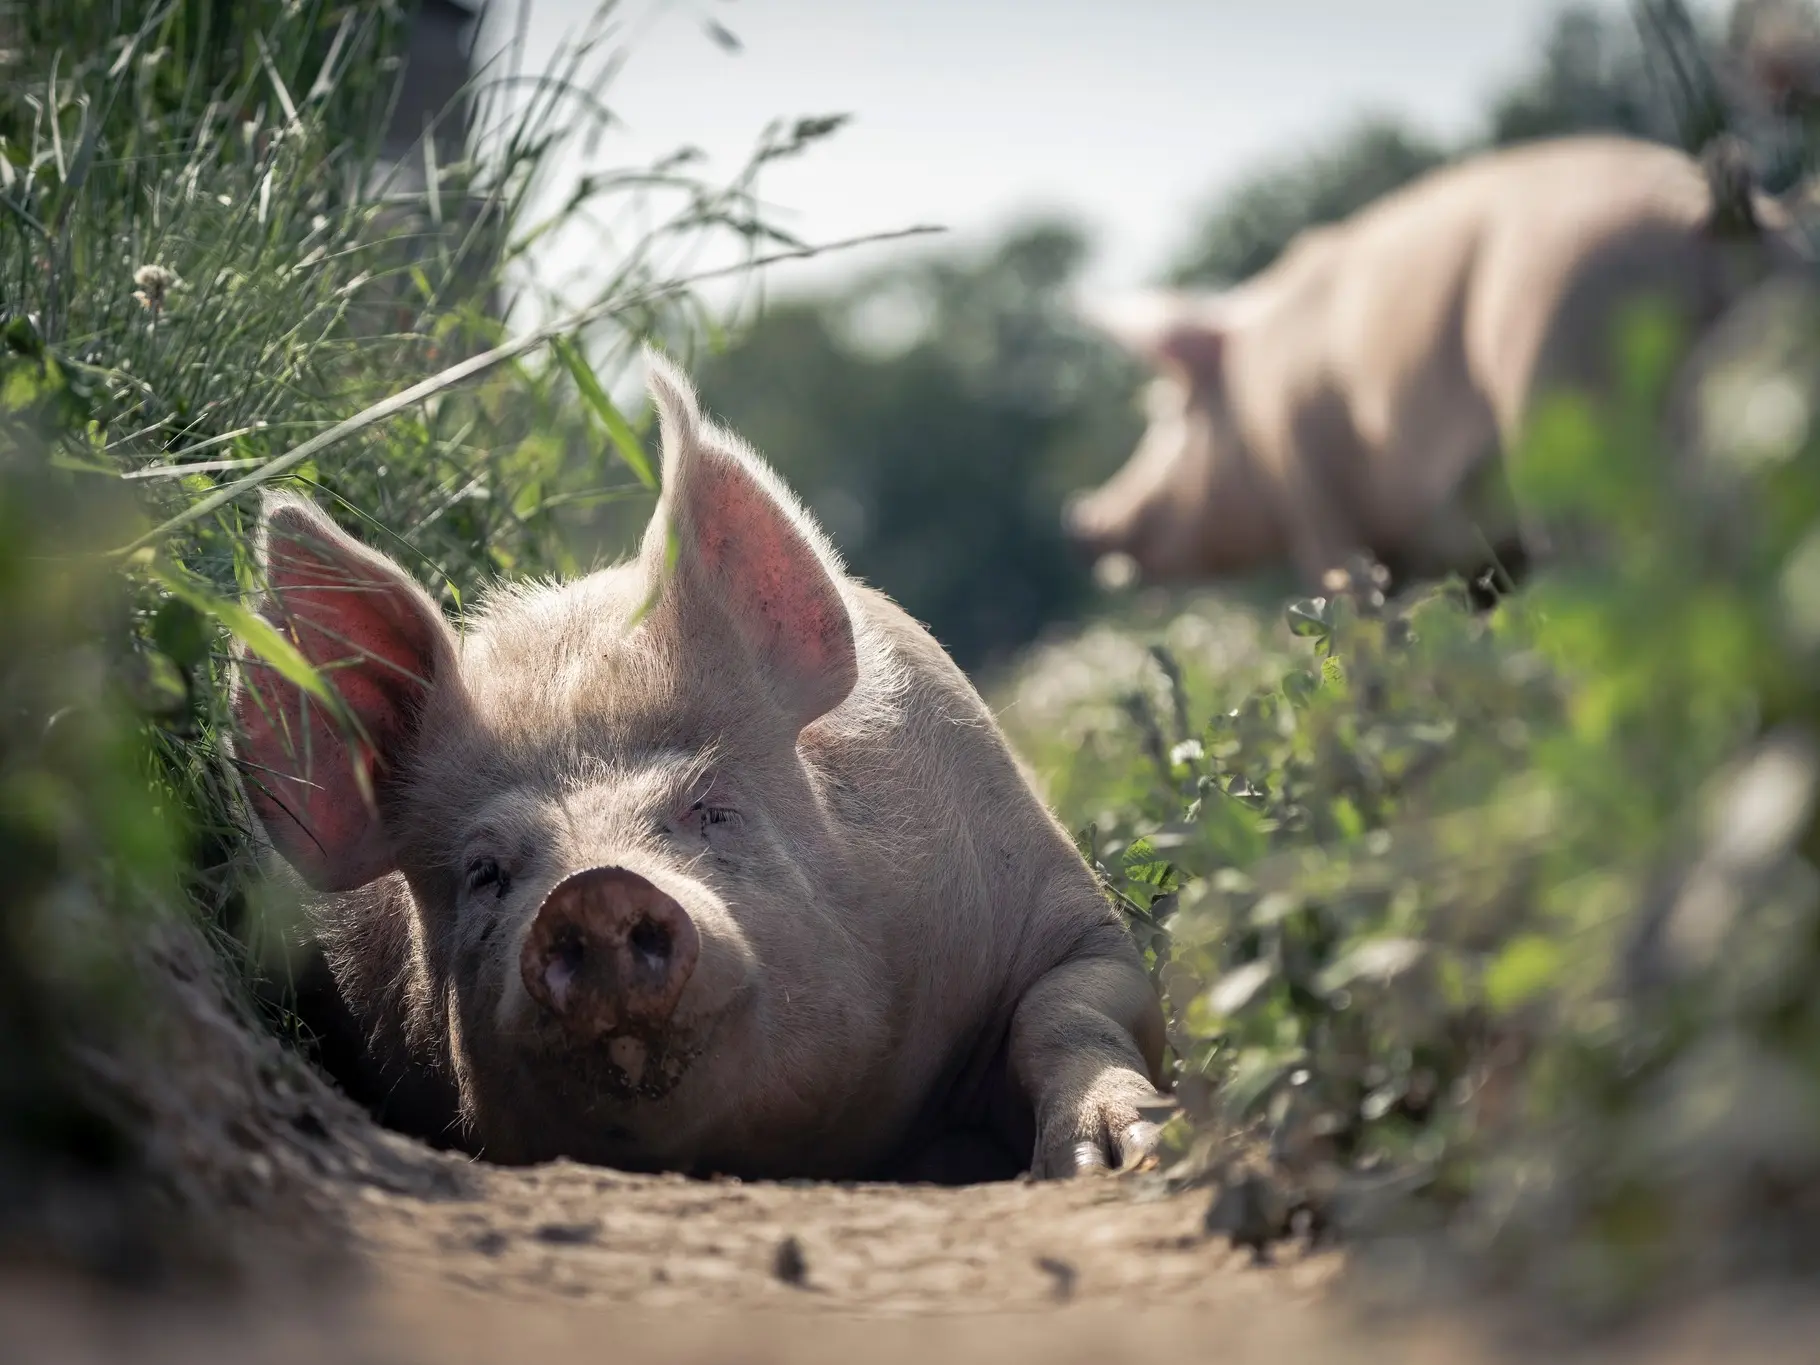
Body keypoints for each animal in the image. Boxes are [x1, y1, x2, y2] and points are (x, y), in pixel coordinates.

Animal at [232, 352, 1167, 1182]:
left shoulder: (1053, 904)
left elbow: (1068, 1003)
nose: (595, 890)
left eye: (710, 807)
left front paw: (1115, 1159)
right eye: (484, 871)